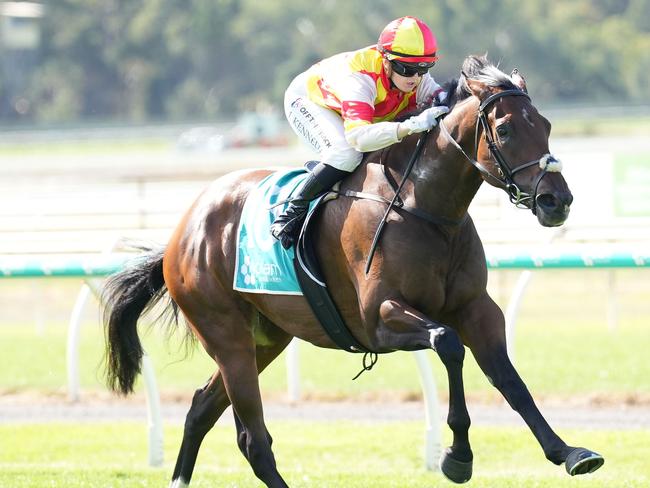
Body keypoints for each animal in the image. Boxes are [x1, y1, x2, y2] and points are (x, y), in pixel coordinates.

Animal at [101, 55, 604, 486]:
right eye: (504, 128)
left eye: (545, 125)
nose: (556, 201)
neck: (423, 207)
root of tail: (180, 234)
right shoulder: (379, 317)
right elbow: (448, 343)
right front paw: (457, 456)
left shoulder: (476, 308)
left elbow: (509, 378)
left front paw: (569, 453)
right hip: (226, 337)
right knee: (253, 440)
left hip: (265, 338)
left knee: (201, 410)